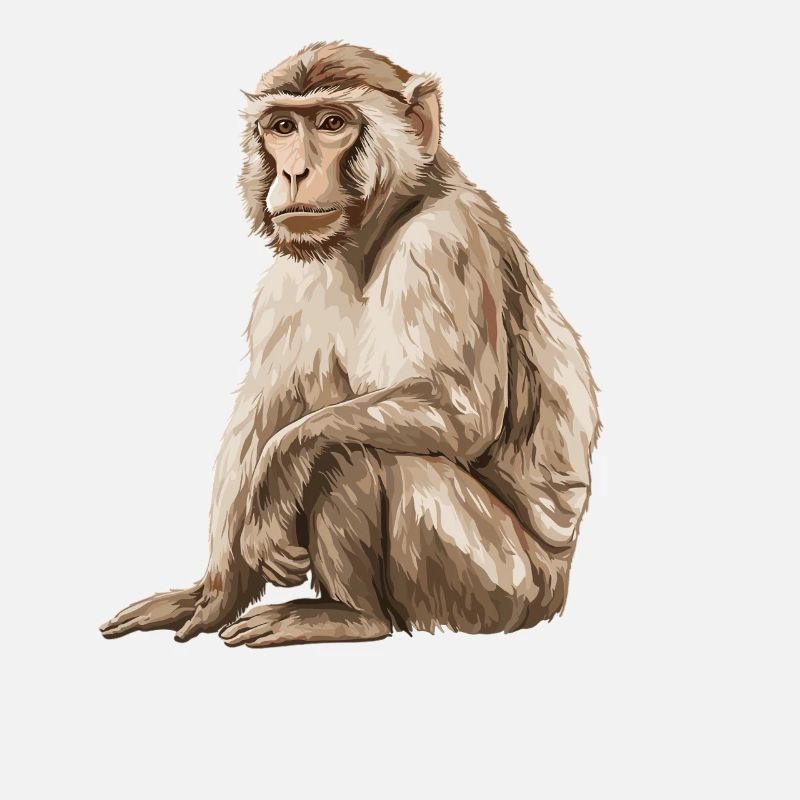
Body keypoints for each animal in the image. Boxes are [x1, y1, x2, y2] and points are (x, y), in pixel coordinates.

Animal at [100, 42, 600, 648]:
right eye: (283, 127)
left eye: (332, 124)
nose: (294, 171)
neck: (377, 227)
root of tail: (556, 588)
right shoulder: (289, 279)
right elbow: (262, 409)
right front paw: (214, 593)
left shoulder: (444, 243)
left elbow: (458, 415)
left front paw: (275, 481)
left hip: (497, 587)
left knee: (353, 446)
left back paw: (352, 615)